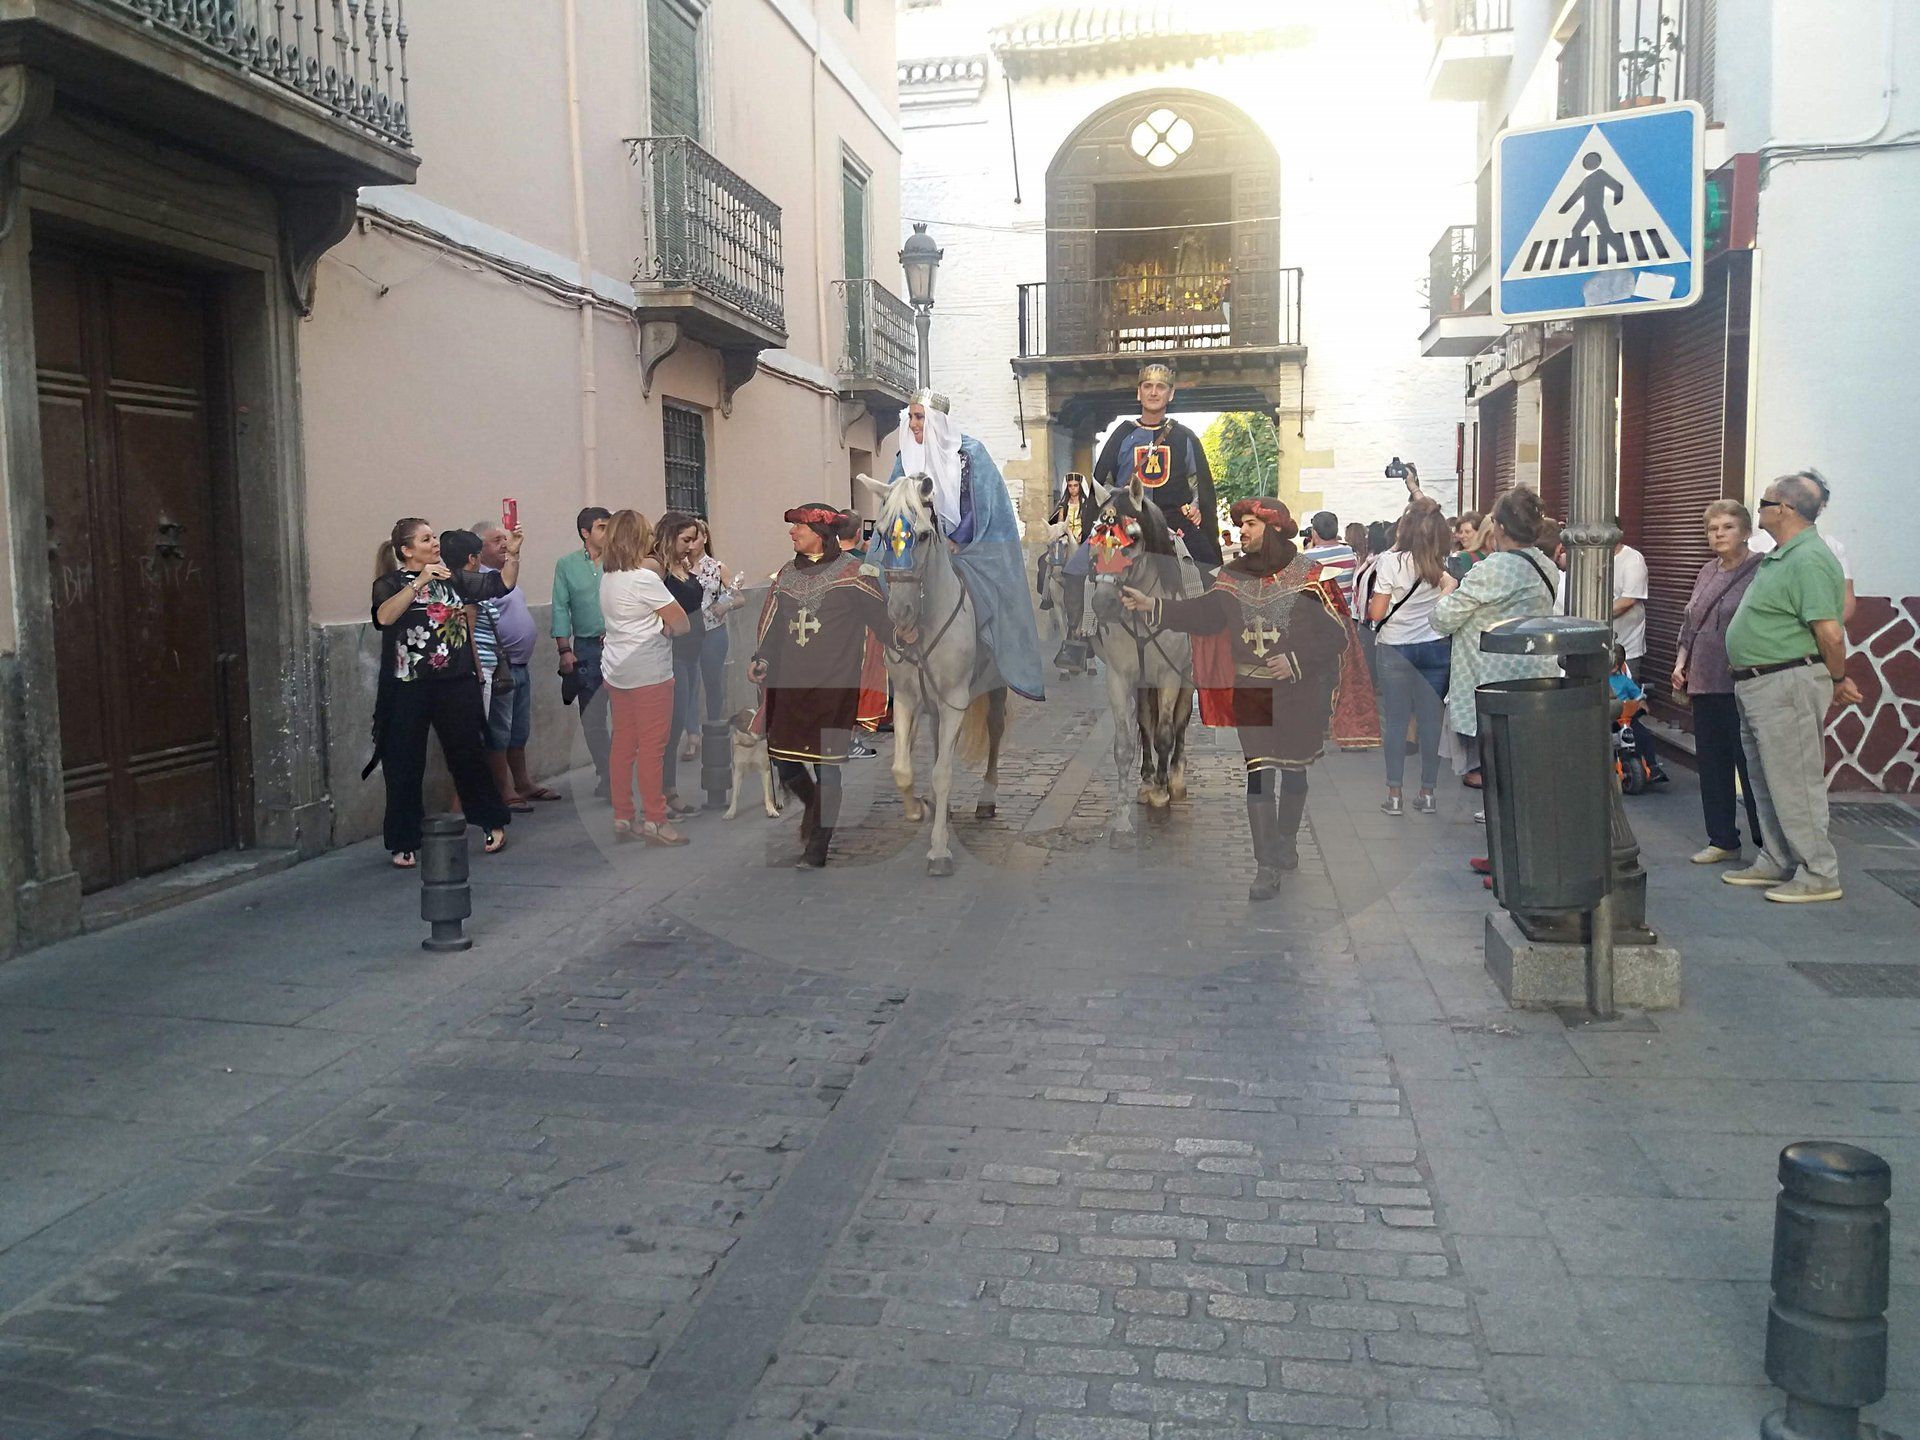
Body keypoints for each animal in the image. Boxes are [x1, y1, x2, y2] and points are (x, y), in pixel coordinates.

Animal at [857, 471, 1009, 877]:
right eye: (880, 534)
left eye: (924, 535)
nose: (901, 613)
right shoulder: (907, 700)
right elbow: (902, 768)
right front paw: (917, 810)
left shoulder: (955, 701)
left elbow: (943, 774)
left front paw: (939, 850)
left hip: (995, 691)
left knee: (995, 733)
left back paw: (986, 798)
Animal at [1082, 477, 1196, 840]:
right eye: (1095, 533)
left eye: (1131, 538)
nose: (1103, 603)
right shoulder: (1119, 678)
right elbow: (1126, 743)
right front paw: (1122, 819)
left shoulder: (1170, 676)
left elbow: (1165, 734)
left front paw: (1162, 792)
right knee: (1145, 722)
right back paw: (1147, 780)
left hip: (1186, 676)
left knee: (1179, 724)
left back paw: (1174, 778)